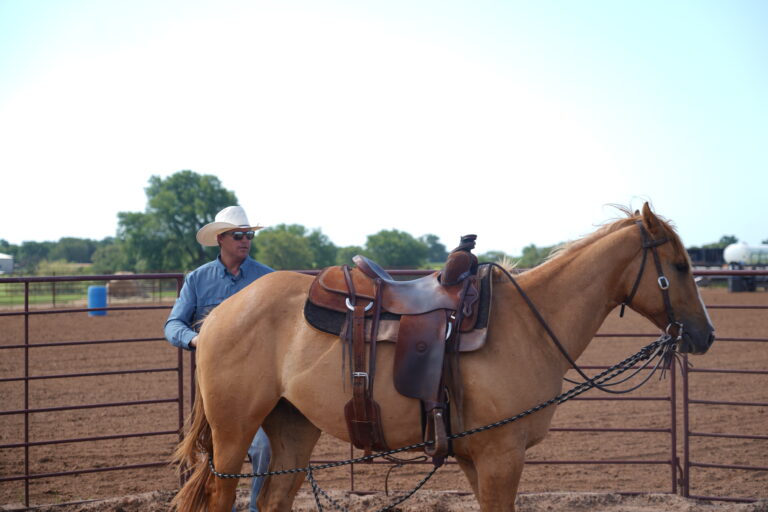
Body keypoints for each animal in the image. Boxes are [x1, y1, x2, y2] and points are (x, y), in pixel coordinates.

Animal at [171, 203, 715, 511]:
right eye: (680, 265)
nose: (705, 334)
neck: (530, 325)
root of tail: (218, 316)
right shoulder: (501, 455)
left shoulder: (479, 457)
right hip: (234, 430)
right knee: (220, 496)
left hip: (293, 425)